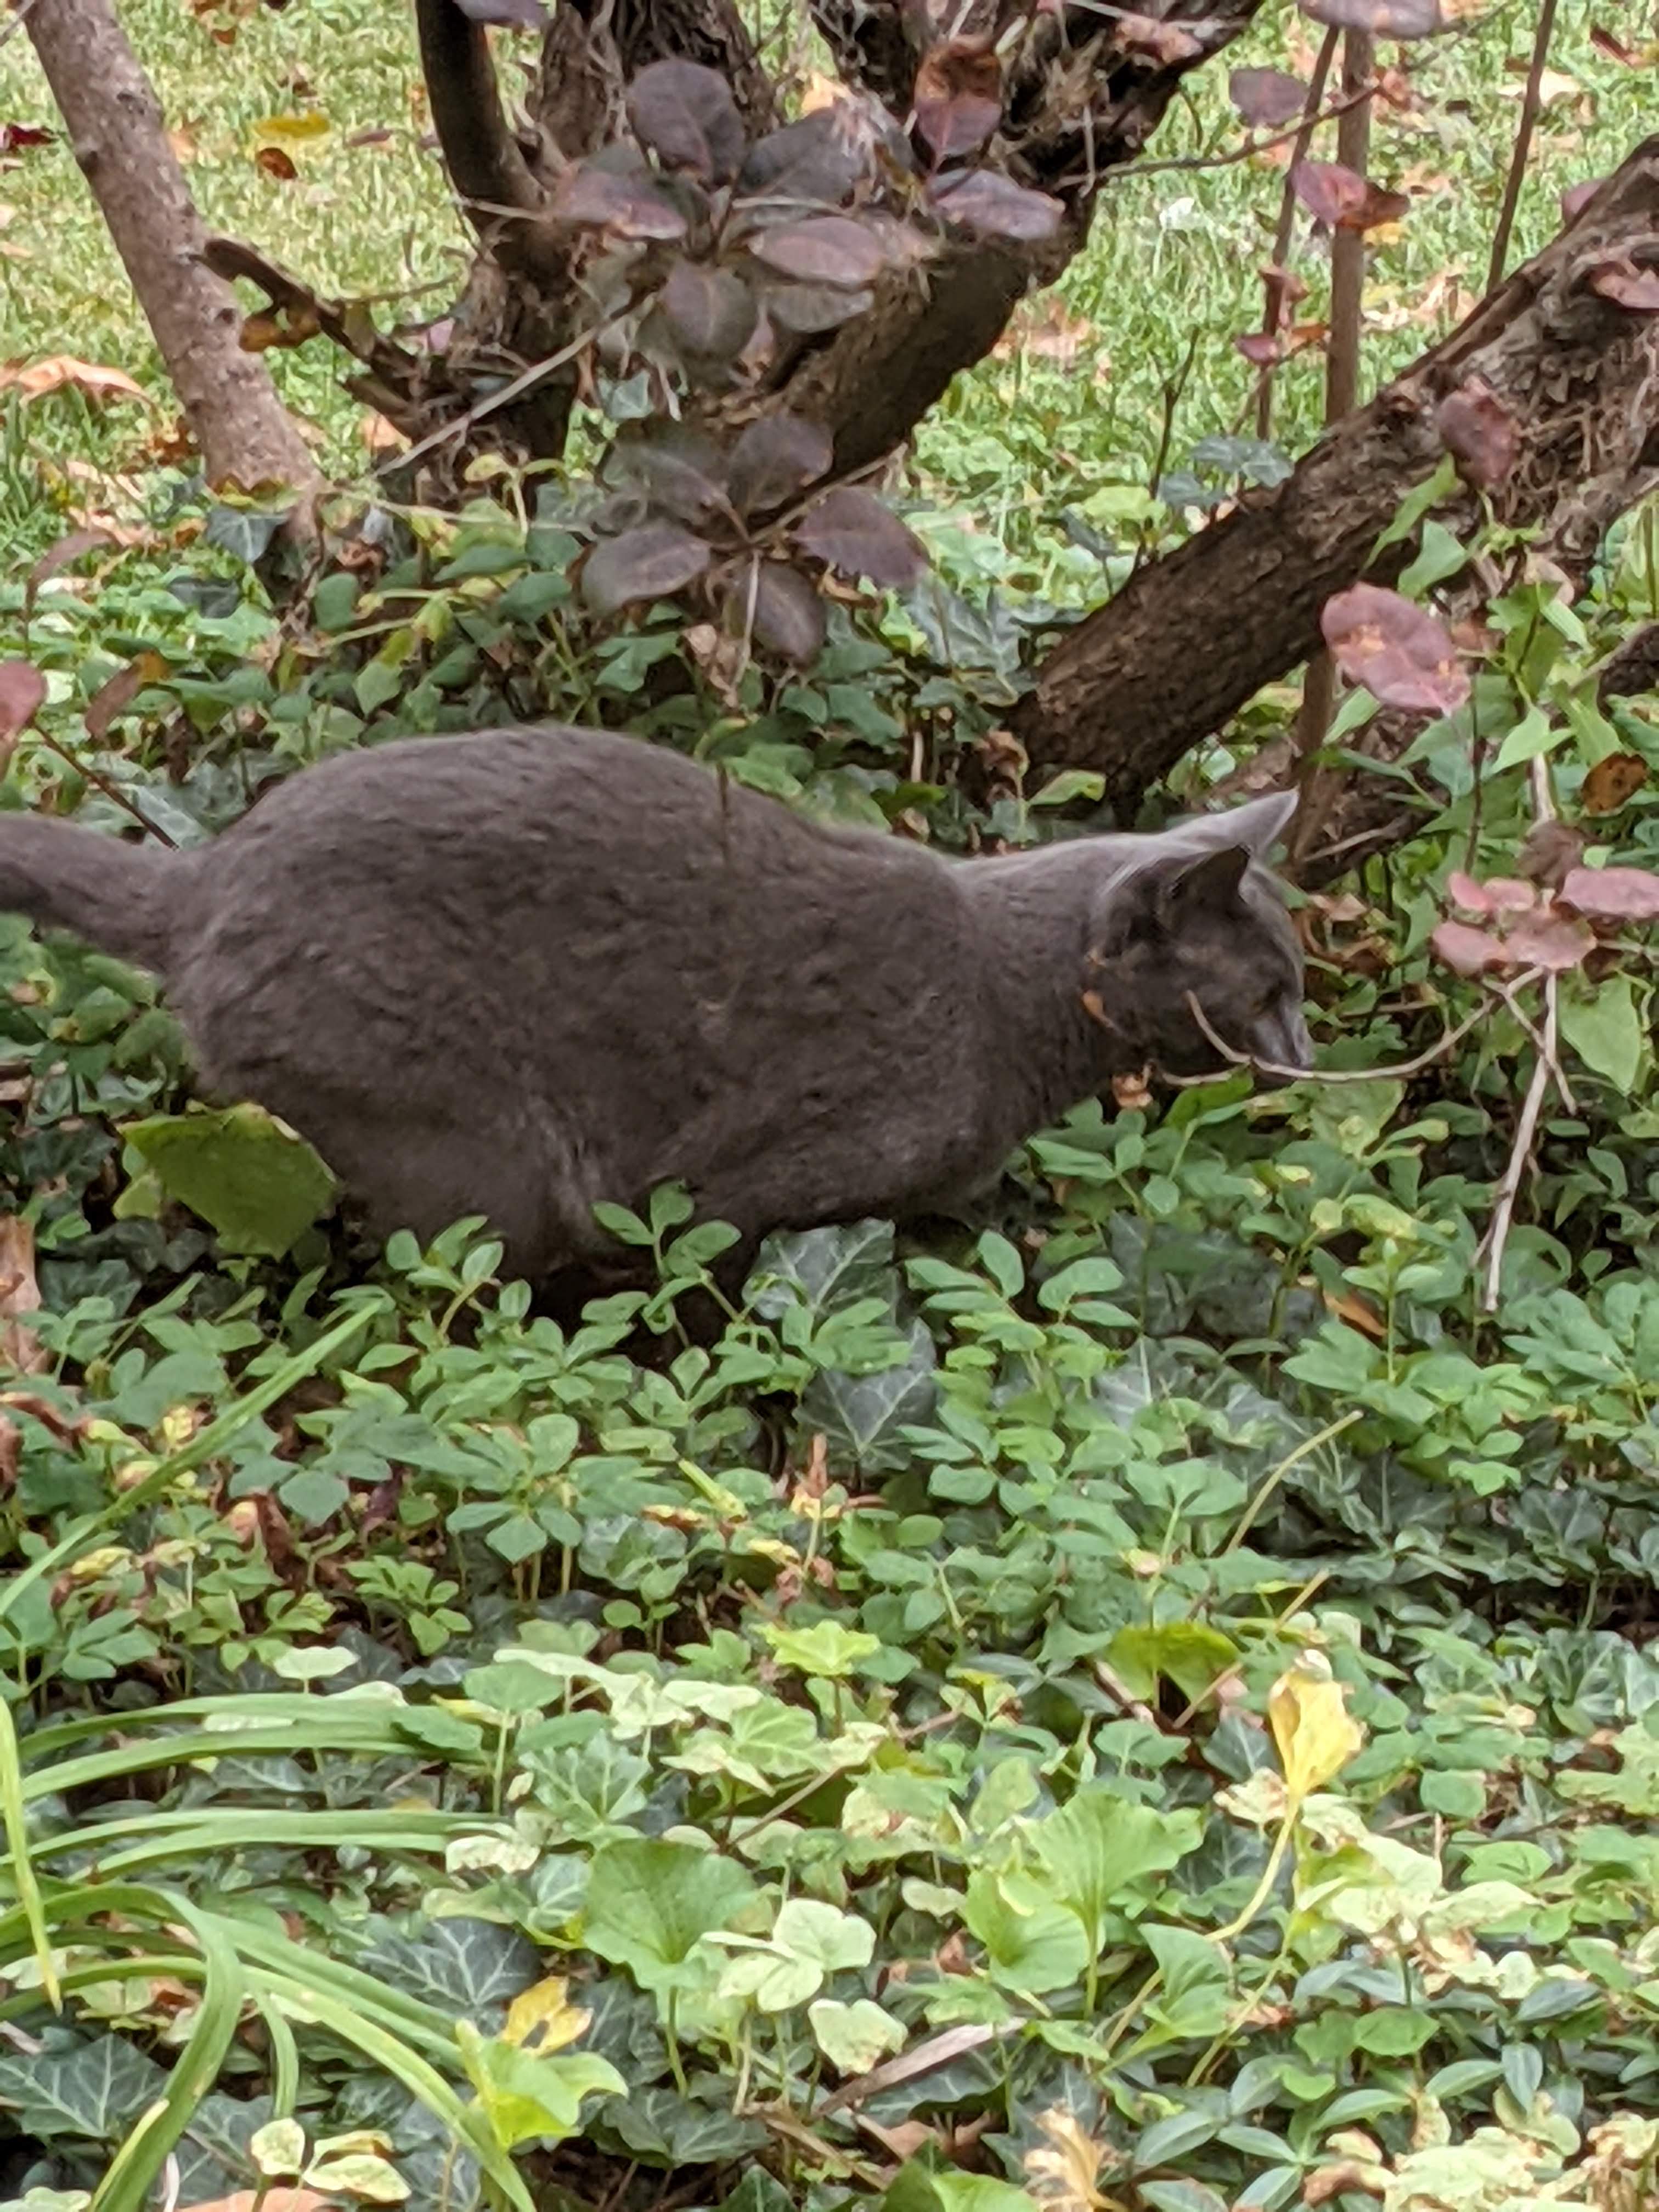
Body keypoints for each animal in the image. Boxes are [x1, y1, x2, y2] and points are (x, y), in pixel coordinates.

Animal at [0, 725, 1309, 1285]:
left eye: (1298, 986)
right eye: (1265, 992)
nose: (1305, 1053)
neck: (1009, 1013)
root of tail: (207, 871)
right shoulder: (727, 1192)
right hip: (471, 1140)